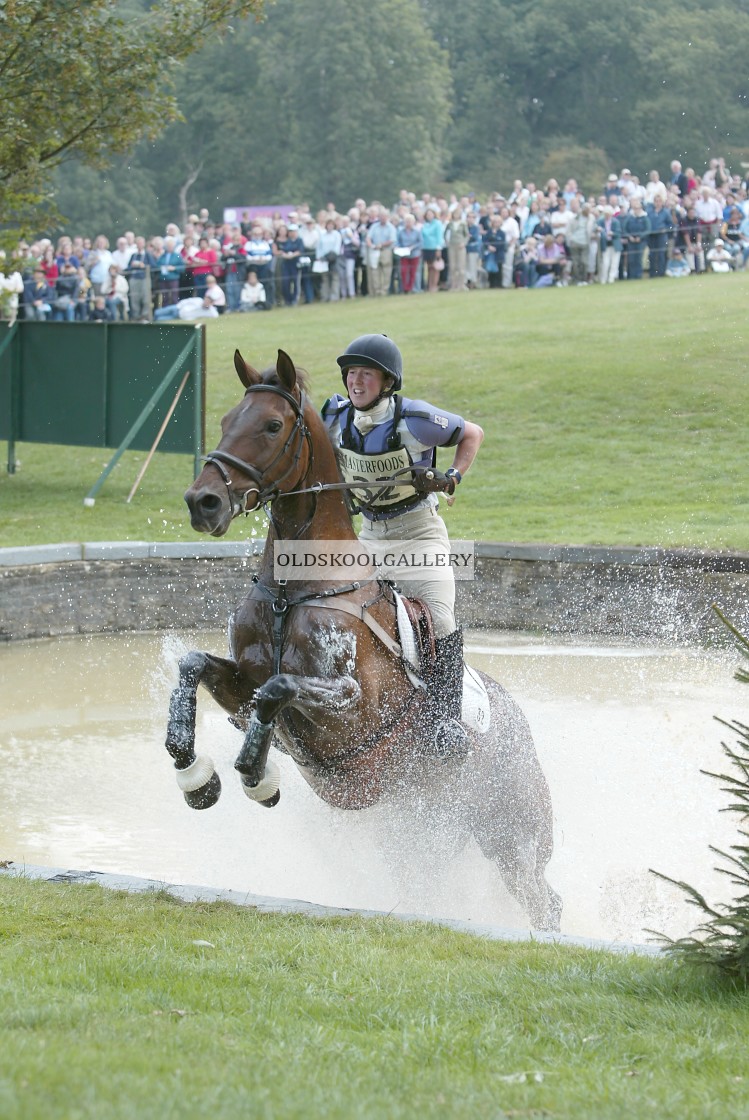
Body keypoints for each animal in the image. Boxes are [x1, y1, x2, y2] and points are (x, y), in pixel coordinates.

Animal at [163, 344, 559, 931]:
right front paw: (196, 777)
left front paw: (256, 774)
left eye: (273, 425)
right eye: (226, 420)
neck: (296, 590)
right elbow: (195, 666)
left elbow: (279, 688)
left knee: (542, 899)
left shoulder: (351, 705)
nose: (202, 502)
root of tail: (519, 723)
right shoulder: (238, 686)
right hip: (421, 830)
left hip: (511, 835)